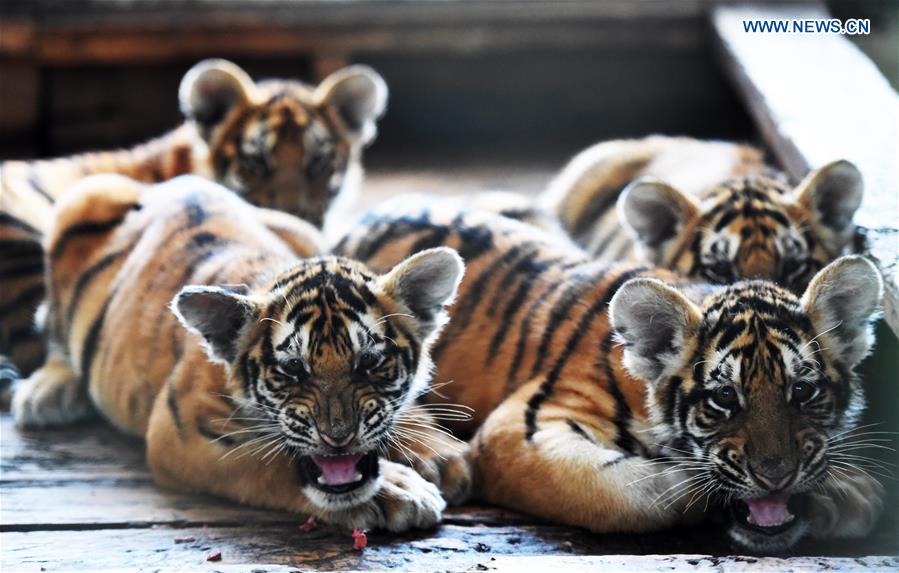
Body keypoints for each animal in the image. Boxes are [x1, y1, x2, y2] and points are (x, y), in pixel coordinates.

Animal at [11, 175, 470, 532]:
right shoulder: (182, 432)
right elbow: (271, 462)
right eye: (292, 370)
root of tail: (175, 181)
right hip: (82, 197)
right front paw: (395, 491)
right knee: (51, 323)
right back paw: (46, 394)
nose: (338, 438)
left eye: (371, 362)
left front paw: (440, 452)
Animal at [336, 197, 885, 552]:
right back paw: (439, 457)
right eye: (724, 399)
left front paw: (848, 490)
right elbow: (639, 493)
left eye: (803, 390)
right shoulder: (526, 425)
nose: (777, 475)